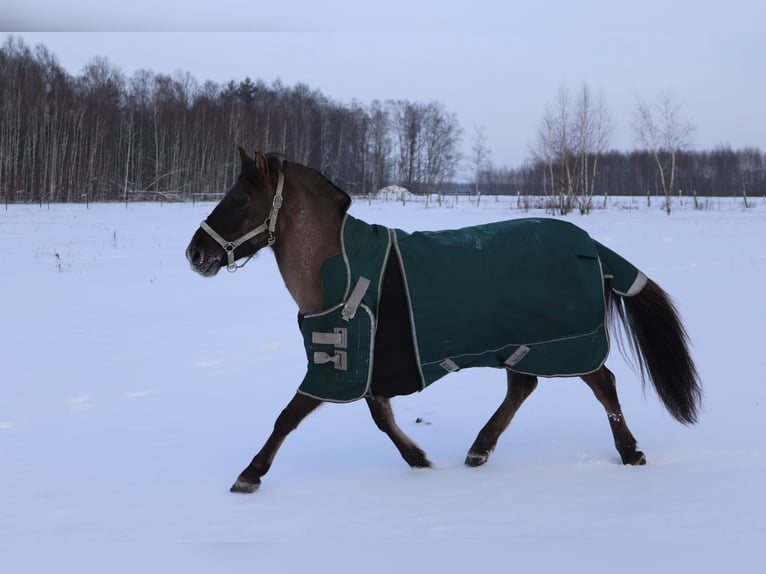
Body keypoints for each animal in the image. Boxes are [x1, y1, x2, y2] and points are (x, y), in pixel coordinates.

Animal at [184, 150, 704, 496]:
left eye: (242, 198)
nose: (196, 253)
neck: (340, 270)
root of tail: (590, 244)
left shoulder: (338, 364)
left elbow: (287, 417)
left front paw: (249, 474)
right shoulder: (367, 365)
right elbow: (381, 418)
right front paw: (418, 459)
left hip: (566, 343)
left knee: (603, 385)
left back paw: (630, 452)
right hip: (522, 344)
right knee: (523, 387)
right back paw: (479, 449)